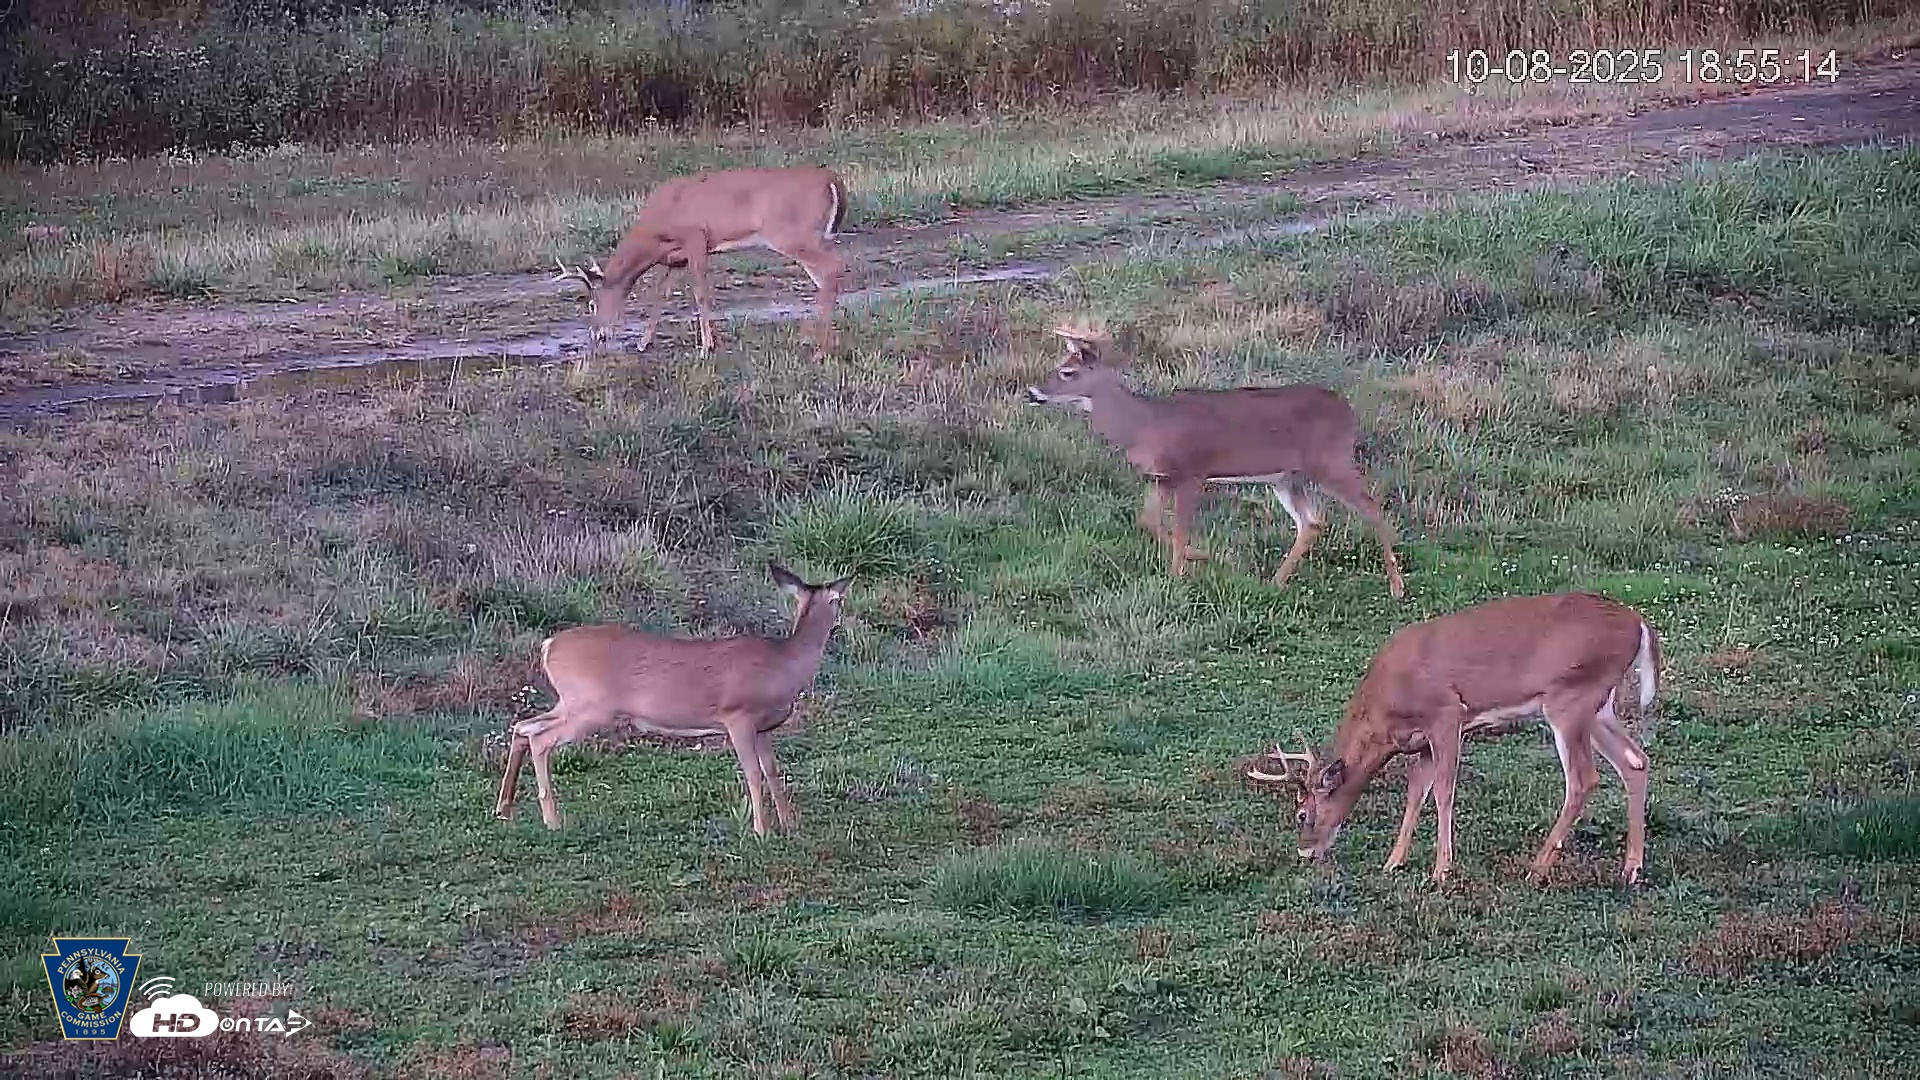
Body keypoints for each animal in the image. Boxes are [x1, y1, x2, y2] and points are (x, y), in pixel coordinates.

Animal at [492, 564, 854, 837]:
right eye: (839, 600)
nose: (843, 625)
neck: (783, 664)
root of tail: (548, 645)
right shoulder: (737, 715)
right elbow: (752, 772)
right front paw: (761, 830)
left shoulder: (764, 727)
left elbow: (773, 771)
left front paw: (789, 824)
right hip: (591, 707)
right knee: (540, 739)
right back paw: (552, 820)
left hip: (571, 702)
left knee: (523, 726)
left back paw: (504, 809)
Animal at [550, 165, 850, 361]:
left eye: (592, 303)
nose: (596, 335)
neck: (655, 231)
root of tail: (832, 180)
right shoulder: (675, 259)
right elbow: (660, 296)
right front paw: (644, 343)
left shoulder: (696, 238)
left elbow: (700, 293)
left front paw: (707, 346)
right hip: (810, 237)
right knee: (826, 277)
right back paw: (823, 343)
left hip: (791, 234)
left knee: (834, 268)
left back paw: (820, 350)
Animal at [1025, 319, 1406, 599]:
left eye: (1067, 373)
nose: (1032, 392)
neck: (1145, 425)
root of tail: (1348, 411)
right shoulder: (1161, 477)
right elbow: (1148, 520)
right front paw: (1201, 558)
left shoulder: (1193, 471)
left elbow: (1179, 529)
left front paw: (1178, 576)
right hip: (1287, 477)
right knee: (1312, 522)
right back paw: (1275, 582)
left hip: (1330, 461)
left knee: (1372, 506)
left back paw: (1396, 586)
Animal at [1245, 591, 1662, 887]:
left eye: (1302, 813)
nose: (1305, 853)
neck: (1386, 706)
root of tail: (1640, 624)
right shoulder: (1420, 742)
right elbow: (1416, 792)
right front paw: (1393, 862)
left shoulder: (1446, 715)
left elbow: (1444, 790)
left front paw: (1441, 870)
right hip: (1598, 706)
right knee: (1635, 761)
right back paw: (1631, 869)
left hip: (1570, 698)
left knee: (1583, 779)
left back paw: (1537, 868)